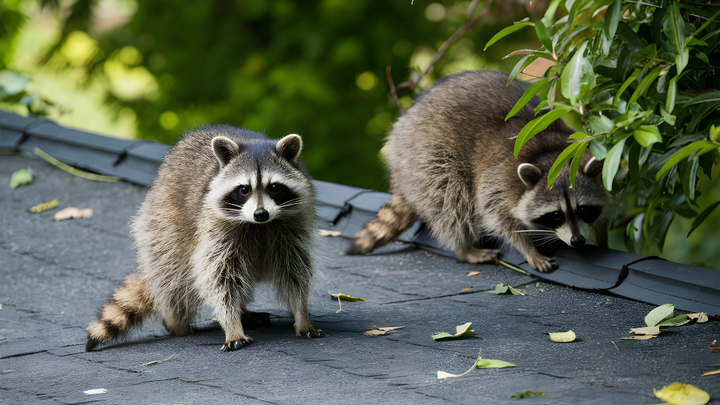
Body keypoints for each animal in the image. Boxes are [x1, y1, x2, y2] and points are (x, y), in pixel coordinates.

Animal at [86, 125, 322, 352]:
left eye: (274, 187)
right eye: (244, 189)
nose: (261, 213)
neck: (259, 226)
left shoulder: (293, 227)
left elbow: (295, 271)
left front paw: (301, 315)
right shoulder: (215, 228)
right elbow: (220, 277)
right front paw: (232, 325)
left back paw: (243, 312)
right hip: (163, 226)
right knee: (173, 277)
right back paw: (175, 321)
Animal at [347, 70, 611, 273]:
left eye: (584, 209)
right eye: (556, 214)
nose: (577, 241)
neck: (554, 156)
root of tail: (406, 118)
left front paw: (600, 239)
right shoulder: (498, 180)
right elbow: (498, 217)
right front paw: (528, 248)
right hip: (426, 151)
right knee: (451, 198)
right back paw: (462, 248)